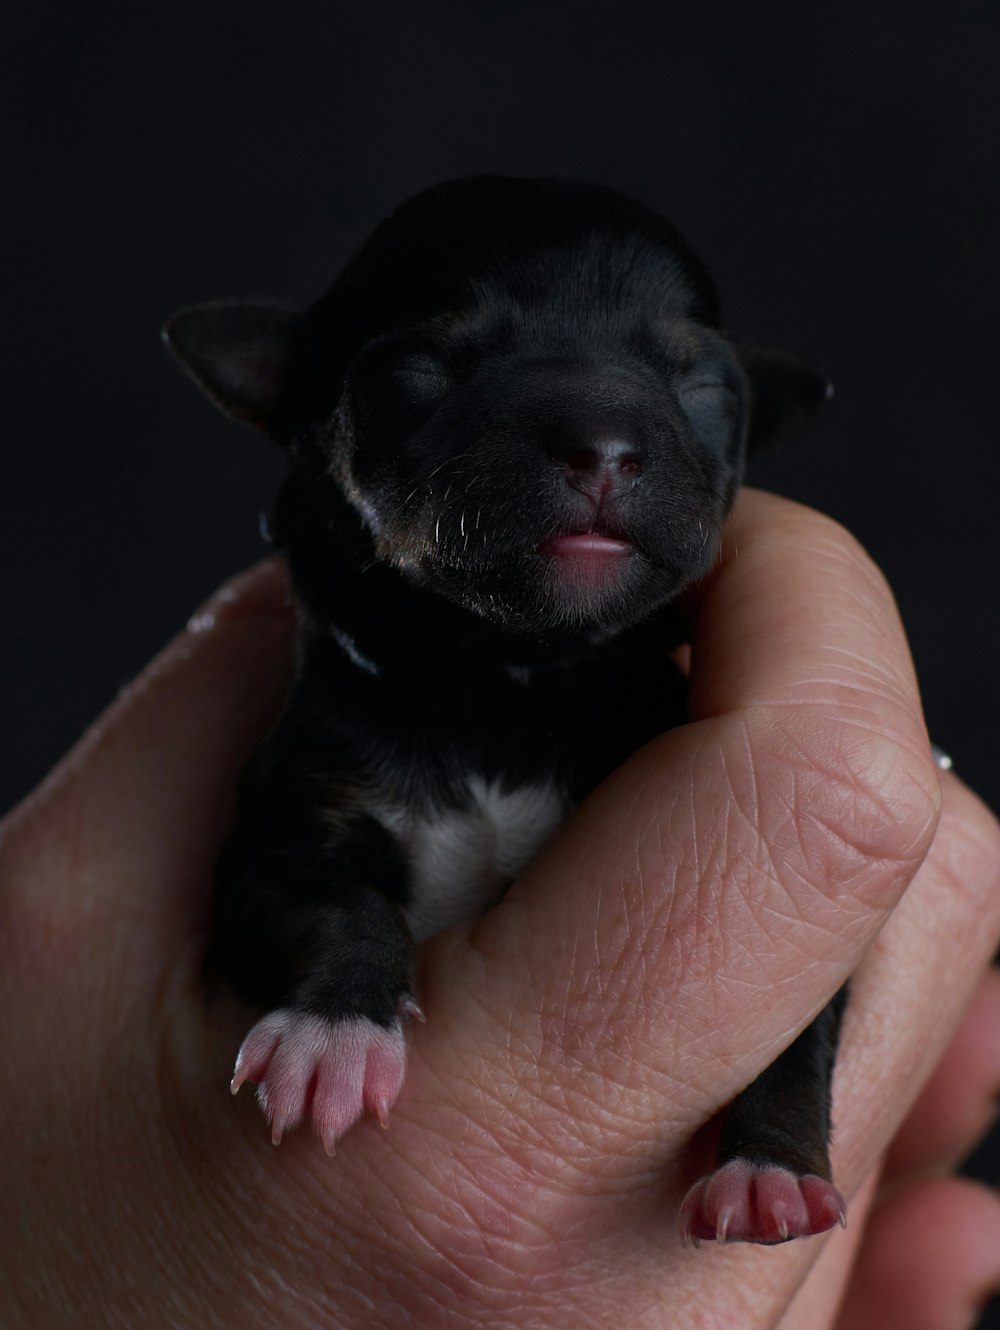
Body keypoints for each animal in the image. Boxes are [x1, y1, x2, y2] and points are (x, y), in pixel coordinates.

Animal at [162, 171, 835, 1239]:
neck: (501, 686)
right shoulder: (283, 827)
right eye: (421, 370)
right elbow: (335, 899)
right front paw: (332, 1035)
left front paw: (771, 1164)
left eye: (705, 388)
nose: (604, 444)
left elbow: (790, 1024)